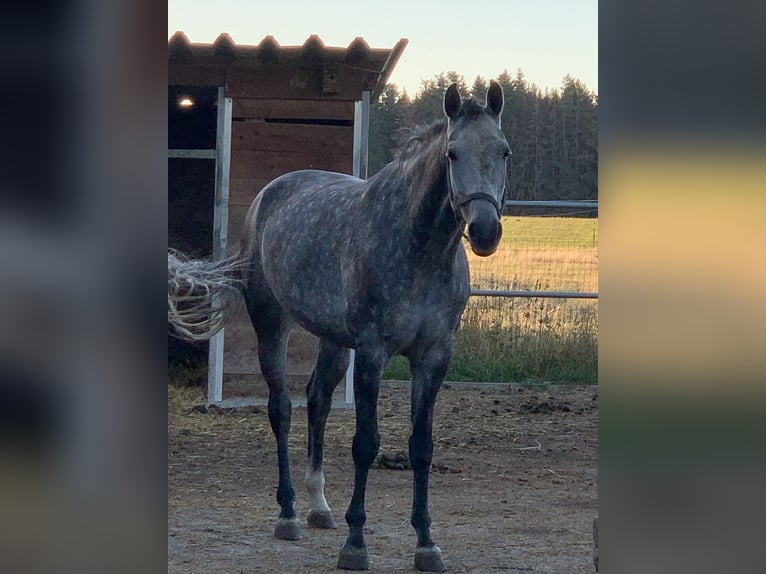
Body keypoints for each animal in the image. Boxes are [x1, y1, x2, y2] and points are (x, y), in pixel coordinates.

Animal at [168, 80, 510, 572]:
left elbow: (421, 447)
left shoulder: (434, 356)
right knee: (282, 409)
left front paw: (426, 543)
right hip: (272, 324)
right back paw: (289, 514)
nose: (485, 231)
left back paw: (319, 507)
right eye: (452, 154)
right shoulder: (371, 353)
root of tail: (267, 197)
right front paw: (356, 543)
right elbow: (365, 443)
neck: (419, 248)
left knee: (317, 401)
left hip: (332, 340)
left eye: (503, 151)